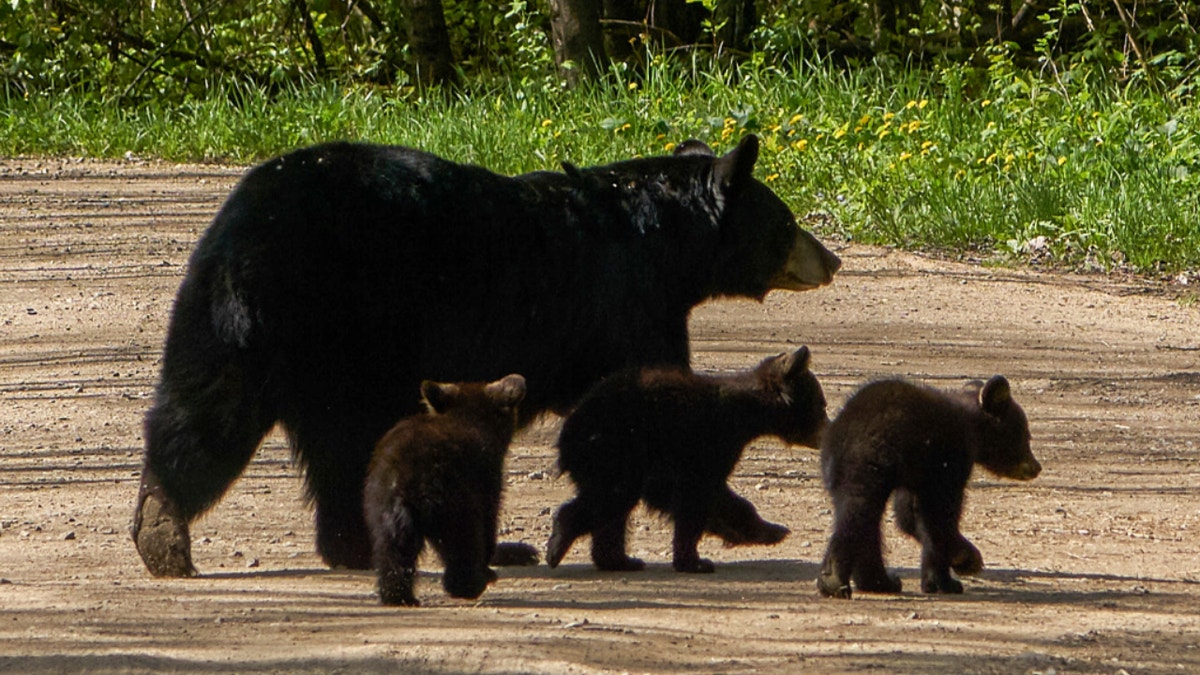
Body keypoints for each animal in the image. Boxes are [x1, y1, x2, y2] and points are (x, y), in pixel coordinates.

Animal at [364, 372, 525, 605]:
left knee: (393, 549)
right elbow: (489, 519)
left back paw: (398, 595)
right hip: (451, 499)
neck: (467, 418)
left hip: (384, 509)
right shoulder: (486, 479)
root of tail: (405, 477)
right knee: (462, 540)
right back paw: (469, 585)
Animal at [549, 345, 830, 571]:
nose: (828, 430)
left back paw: (620, 561)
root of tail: (568, 431)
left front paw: (769, 530)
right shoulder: (706, 442)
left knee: (613, 510)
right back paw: (559, 542)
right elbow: (697, 497)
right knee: (611, 499)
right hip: (613, 451)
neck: (746, 416)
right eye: (822, 404)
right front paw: (696, 561)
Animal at [816, 374, 1041, 595]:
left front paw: (941, 576)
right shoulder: (949, 459)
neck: (972, 427)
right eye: (1026, 434)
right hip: (872, 462)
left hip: (840, 469)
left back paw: (879, 582)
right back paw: (836, 580)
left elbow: (910, 514)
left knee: (864, 519)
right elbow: (940, 512)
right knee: (858, 512)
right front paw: (960, 565)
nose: (1036, 467)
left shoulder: (918, 472)